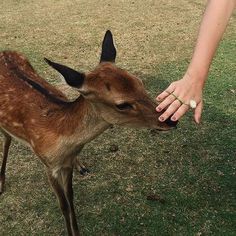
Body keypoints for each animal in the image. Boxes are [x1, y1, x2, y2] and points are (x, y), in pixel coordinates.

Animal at [0, 30, 177, 235]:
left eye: (139, 82)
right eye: (121, 104)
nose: (171, 120)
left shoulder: (66, 163)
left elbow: (71, 199)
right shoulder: (49, 165)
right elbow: (63, 205)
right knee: (6, 137)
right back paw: (1, 183)